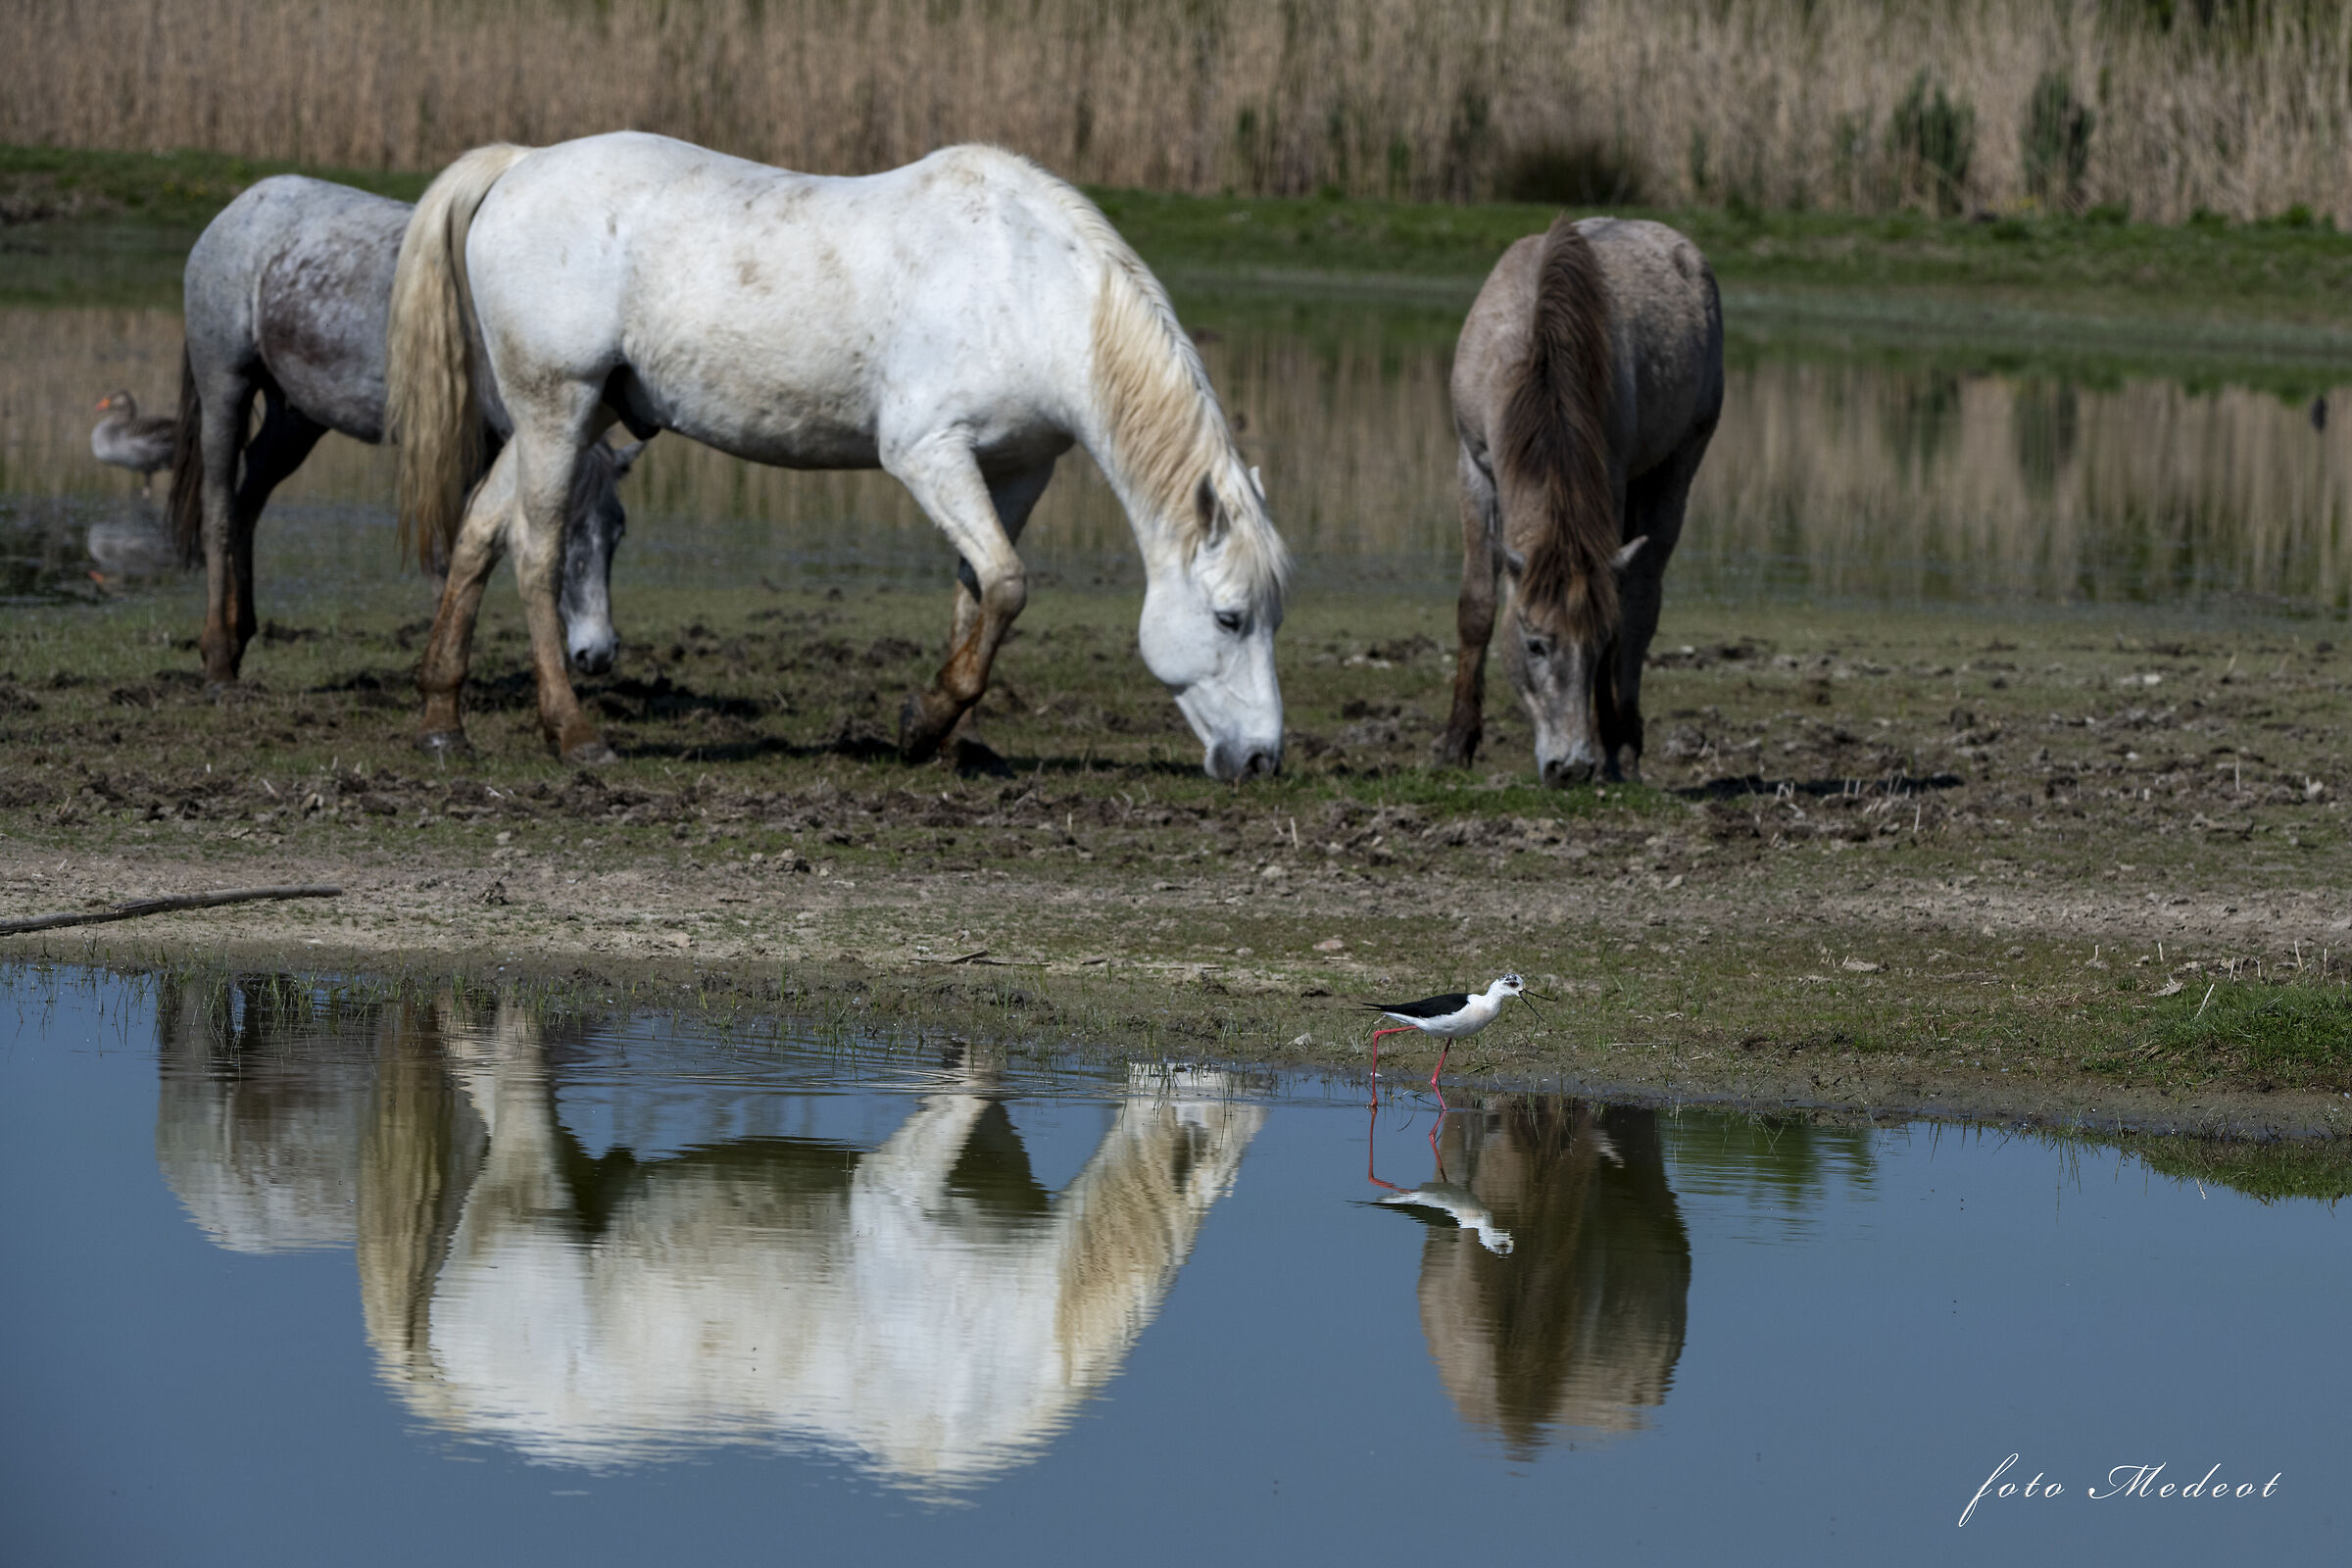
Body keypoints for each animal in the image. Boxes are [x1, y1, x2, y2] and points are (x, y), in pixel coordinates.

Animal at [167, 175, 644, 692]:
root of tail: (241, 207)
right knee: (219, 510)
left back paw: (238, 637)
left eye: (618, 531)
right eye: (568, 531)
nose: (597, 652)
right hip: (225, 390)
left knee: (247, 502)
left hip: (295, 419)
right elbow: (446, 553)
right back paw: (218, 659)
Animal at [385, 132, 1288, 778]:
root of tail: (520, 165)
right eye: (1228, 617)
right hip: (556, 407)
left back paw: (441, 723)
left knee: (478, 533)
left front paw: (945, 739)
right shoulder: (927, 454)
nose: (1261, 758)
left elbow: (978, 592)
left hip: (572, 412)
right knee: (536, 551)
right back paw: (572, 733)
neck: (1032, 291)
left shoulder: (1016, 470)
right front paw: (923, 723)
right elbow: (1006, 583)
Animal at [1436, 216, 1722, 785]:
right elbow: (1476, 604)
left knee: (1640, 598)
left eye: (1593, 646)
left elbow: (1619, 612)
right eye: (1535, 644)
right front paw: (1457, 743)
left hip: (1675, 468)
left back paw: (1623, 746)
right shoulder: (1473, 466)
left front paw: (1612, 747)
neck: (1535, 349)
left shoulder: (1609, 481)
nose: (1570, 766)